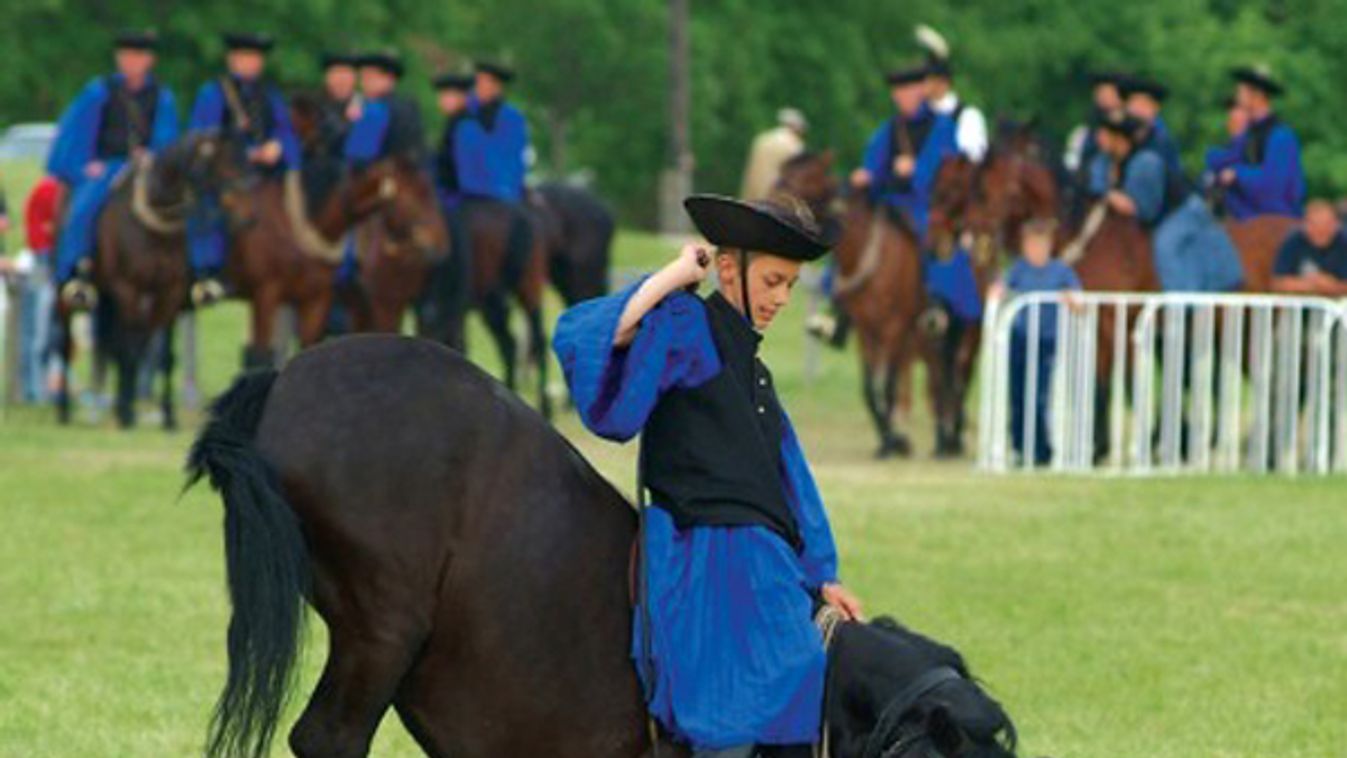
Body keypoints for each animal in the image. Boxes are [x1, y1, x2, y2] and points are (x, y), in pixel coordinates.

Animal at [55, 130, 245, 428]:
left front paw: (167, 415)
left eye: (239, 158)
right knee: (65, 344)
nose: (243, 212)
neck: (156, 230)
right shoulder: (128, 290)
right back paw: (64, 409)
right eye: (214, 165)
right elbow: (130, 349)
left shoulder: (169, 294)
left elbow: (163, 356)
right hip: (66, 292)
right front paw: (126, 413)